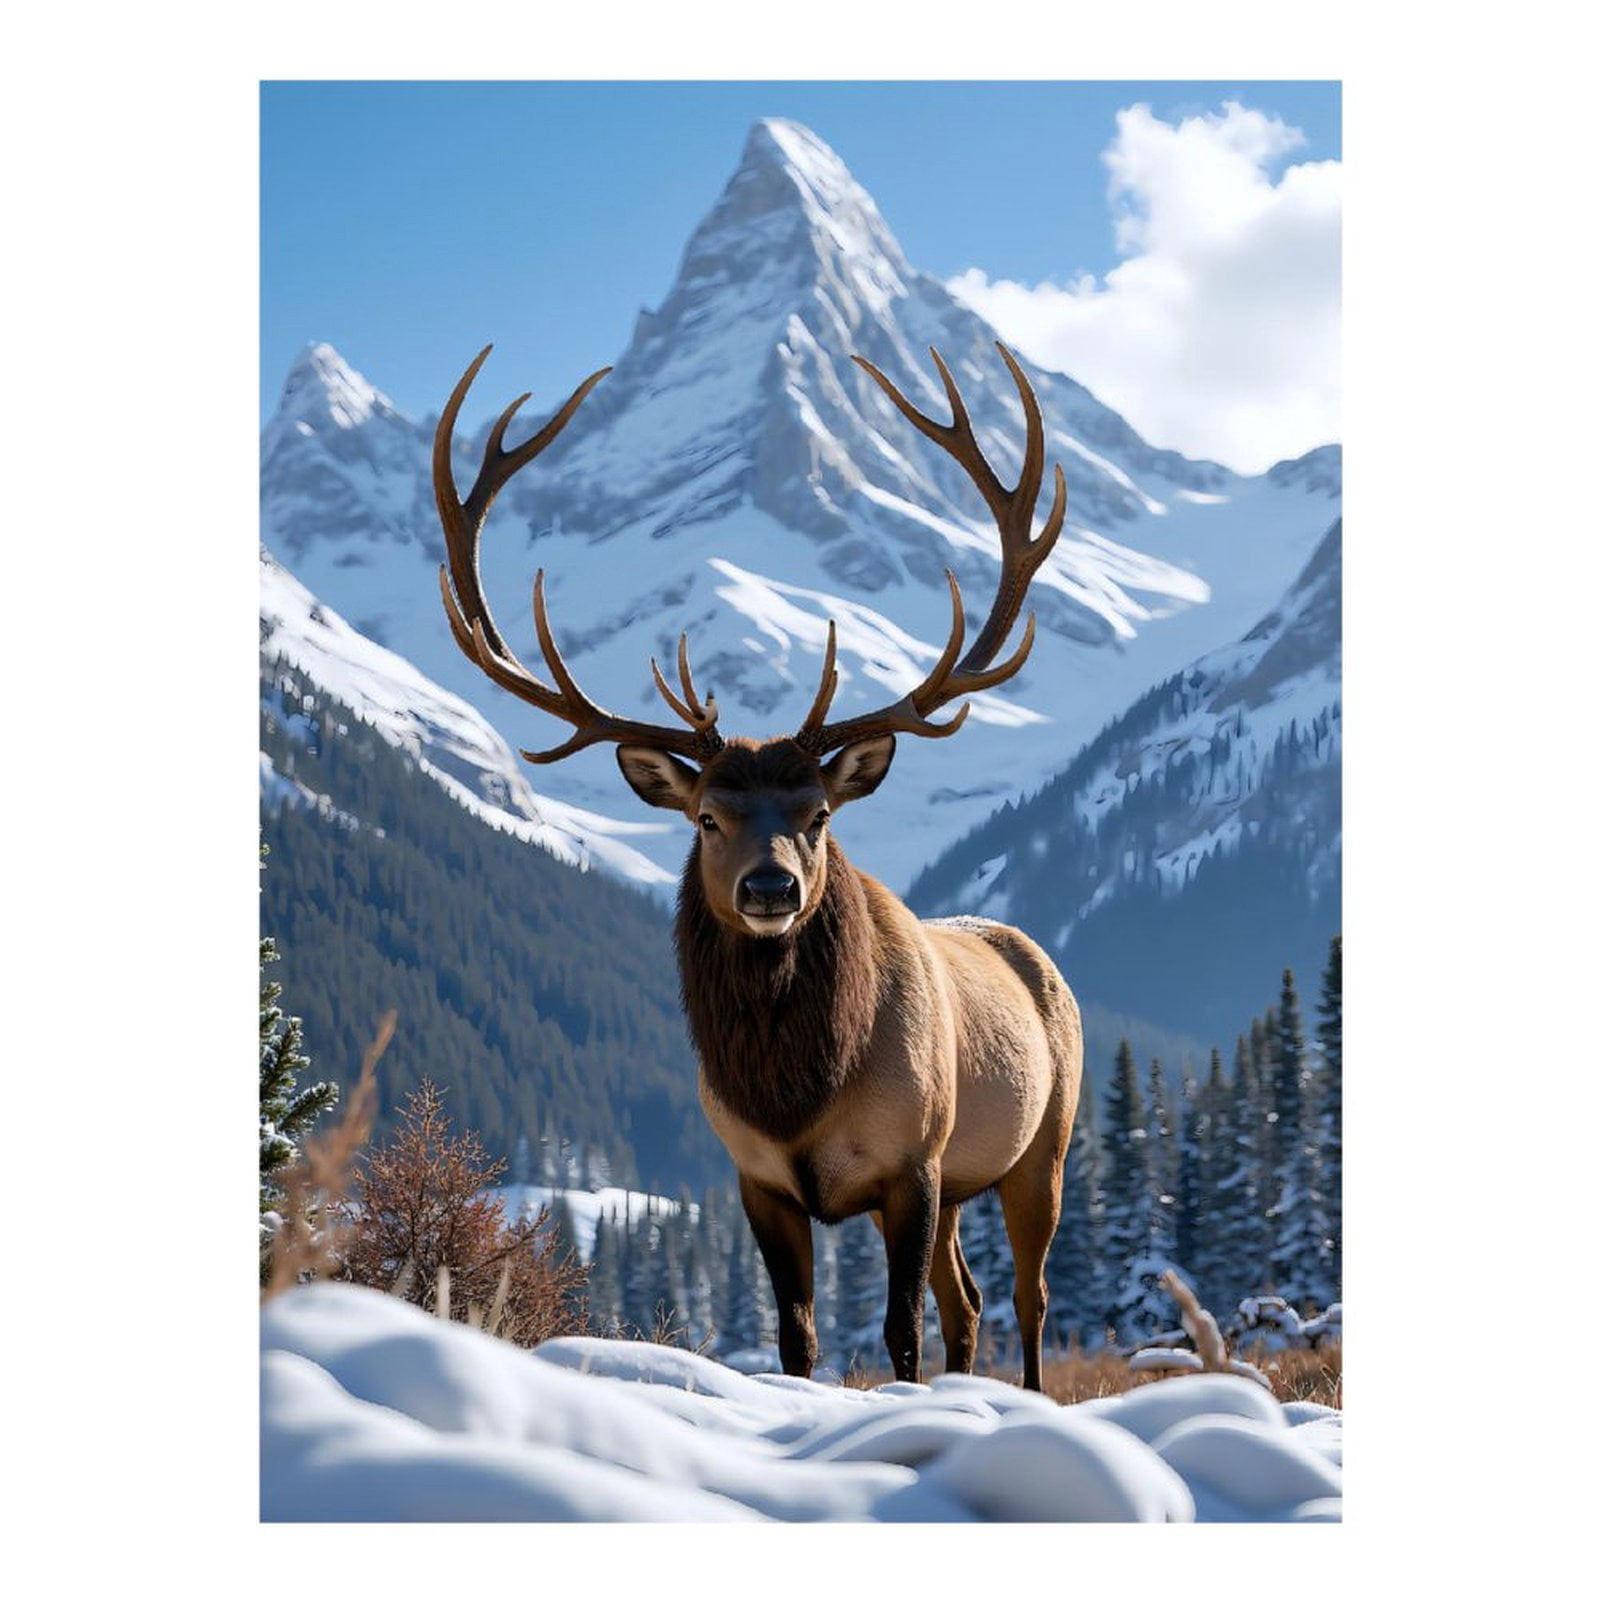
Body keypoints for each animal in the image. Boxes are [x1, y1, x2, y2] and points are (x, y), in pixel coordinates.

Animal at [432, 341, 1083, 1390]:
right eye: (706, 817)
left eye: (817, 814)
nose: (771, 886)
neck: (794, 1093)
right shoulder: (757, 1179)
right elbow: (797, 1339)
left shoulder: (911, 1163)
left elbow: (898, 1333)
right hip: (963, 1185)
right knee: (970, 1301)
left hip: (1038, 1151)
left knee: (1027, 1297)